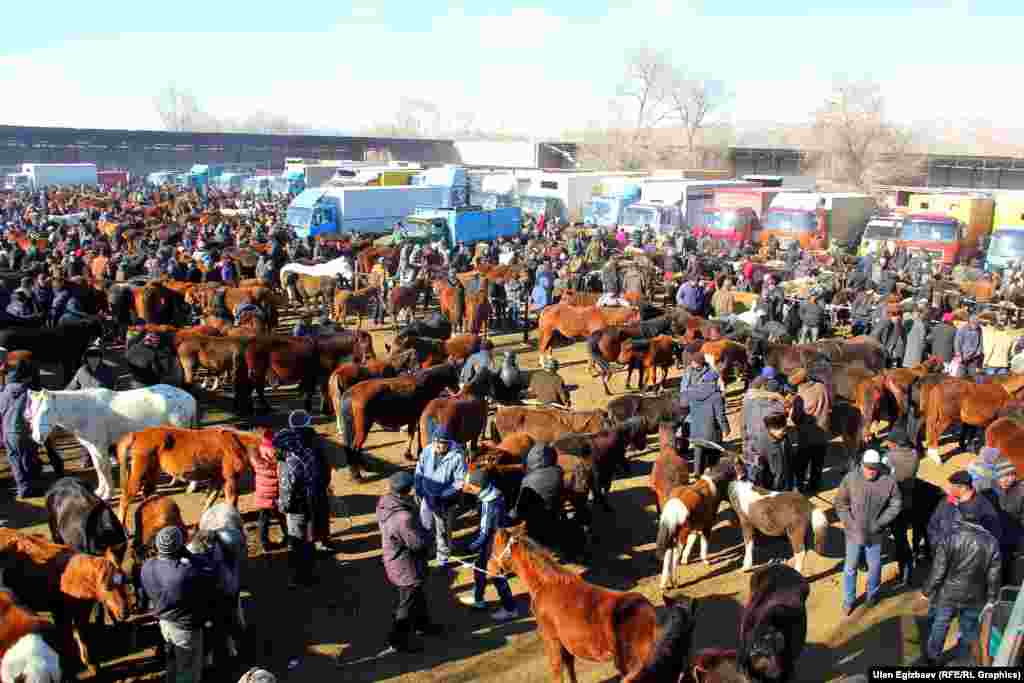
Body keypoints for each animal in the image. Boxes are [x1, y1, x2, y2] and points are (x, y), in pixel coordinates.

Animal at [26, 385, 197, 501]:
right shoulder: (92, 448)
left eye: (47, 410)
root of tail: (189, 397)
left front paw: (108, 494)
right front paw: (99, 492)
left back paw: (191, 486)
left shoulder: (100, 447)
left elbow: (103, 468)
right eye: (31, 411)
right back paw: (174, 481)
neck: (84, 412)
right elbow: (98, 468)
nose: (37, 437)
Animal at [114, 428, 260, 524]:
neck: (240, 443)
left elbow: (209, 500)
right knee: (125, 498)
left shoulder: (217, 479)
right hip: (139, 474)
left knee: (147, 494)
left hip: (152, 473)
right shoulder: (231, 478)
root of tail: (137, 434)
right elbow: (232, 501)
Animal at [487, 528, 663, 683]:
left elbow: (557, 672)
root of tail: (649, 613)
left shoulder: (551, 640)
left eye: (494, 546)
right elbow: (570, 668)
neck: (544, 585)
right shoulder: (565, 643)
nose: (489, 568)